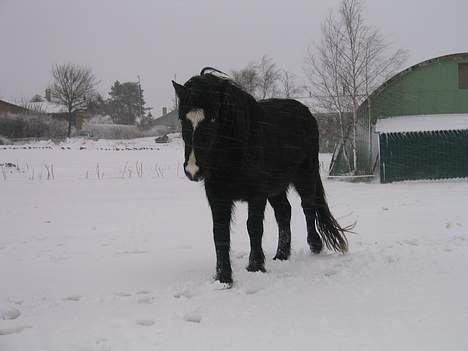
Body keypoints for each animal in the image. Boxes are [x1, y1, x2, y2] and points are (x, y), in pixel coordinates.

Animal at [174, 68, 350, 286]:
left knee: (308, 206)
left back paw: (315, 245)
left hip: (305, 175)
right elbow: (220, 233)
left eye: (213, 119)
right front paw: (223, 277)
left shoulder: (256, 195)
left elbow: (254, 227)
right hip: (276, 188)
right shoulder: (218, 197)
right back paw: (281, 255)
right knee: (284, 212)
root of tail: (306, 112)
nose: (193, 170)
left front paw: (255, 266)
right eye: (183, 119)